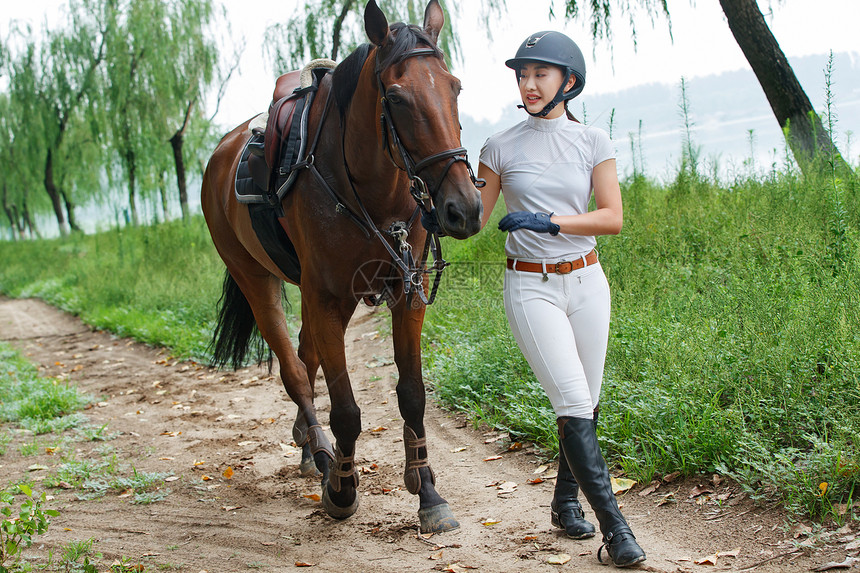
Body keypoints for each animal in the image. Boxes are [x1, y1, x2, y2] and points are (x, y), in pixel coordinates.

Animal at [200, 0, 484, 532]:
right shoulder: (329, 299)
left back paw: (309, 448)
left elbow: (411, 394)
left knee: (306, 355)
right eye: (395, 98)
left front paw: (427, 491)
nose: (464, 209)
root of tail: (221, 156)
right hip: (257, 280)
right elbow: (347, 410)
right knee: (295, 371)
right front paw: (343, 491)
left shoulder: (405, 294)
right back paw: (322, 454)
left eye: (454, 87)